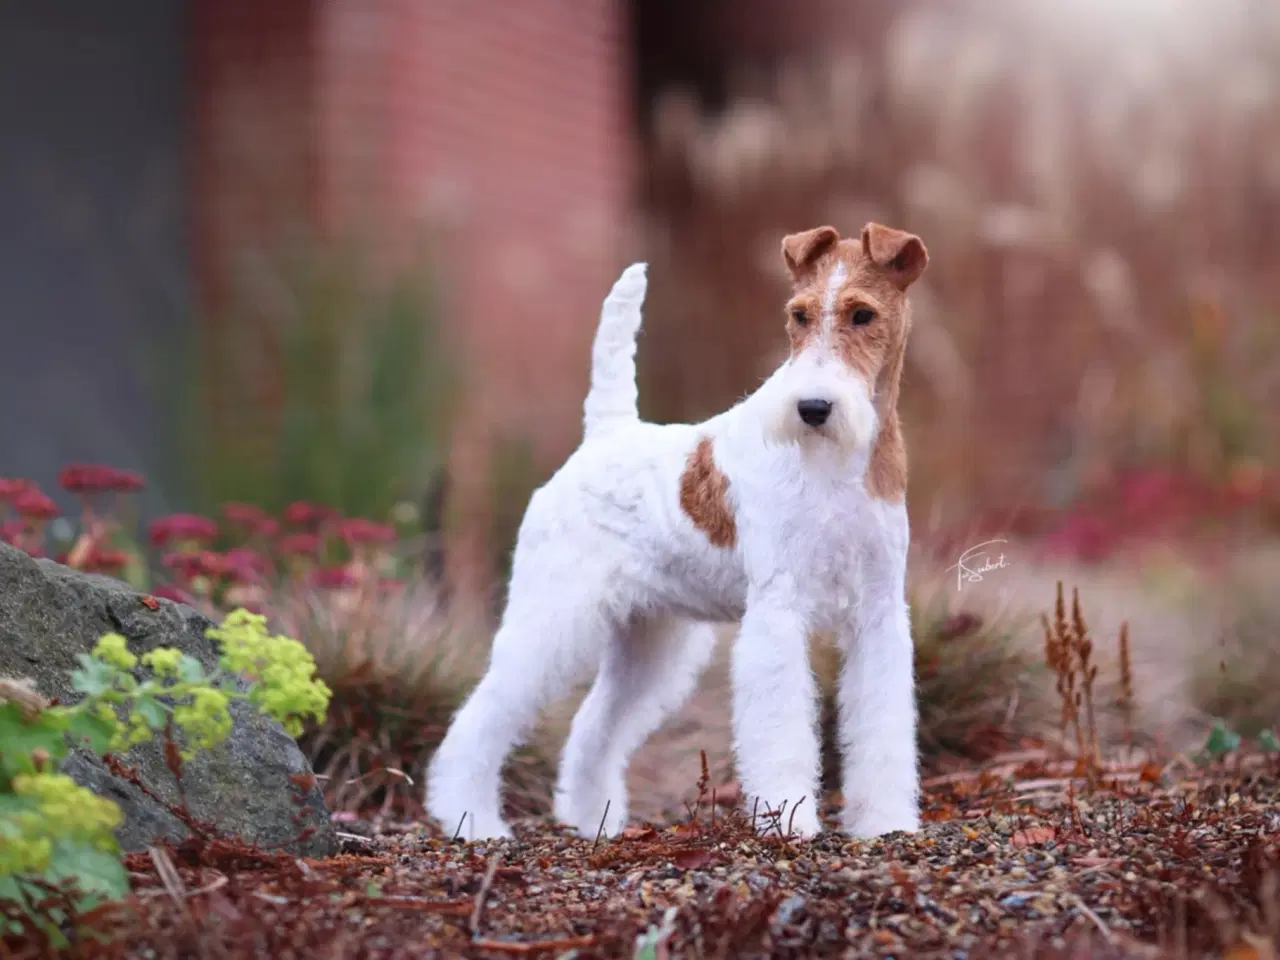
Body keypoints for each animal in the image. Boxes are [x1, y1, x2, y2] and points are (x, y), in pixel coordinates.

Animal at [430, 224, 931, 839]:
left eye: (863, 315)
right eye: (799, 315)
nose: (813, 408)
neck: (842, 461)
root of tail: (605, 435)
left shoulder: (879, 614)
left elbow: (882, 728)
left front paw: (886, 822)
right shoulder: (779, 609)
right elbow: (783, 731)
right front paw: (787, 821)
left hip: (650, 642)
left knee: (592, 728)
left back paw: (593, 820)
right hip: (550, 618)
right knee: (478, 722)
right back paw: (471, 820)